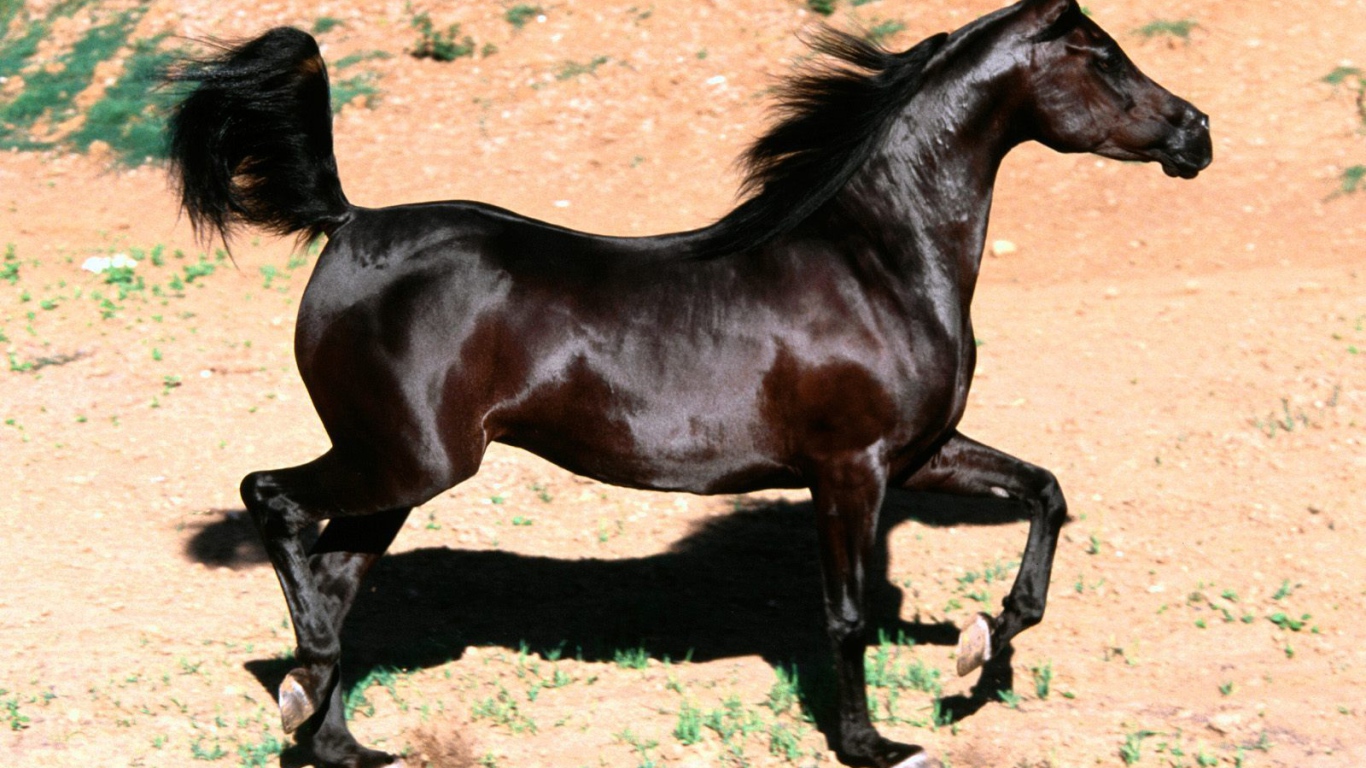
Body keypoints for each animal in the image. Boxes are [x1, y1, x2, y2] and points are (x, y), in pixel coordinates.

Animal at [165, 1, 1209, 765]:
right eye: (1104, 57)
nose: (1195, 133)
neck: (877, 261)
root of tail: (349, 224)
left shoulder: (920, 454)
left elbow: (1044, 493)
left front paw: (981, 649)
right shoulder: (851, 469)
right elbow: (845, 614)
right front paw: (875, 744)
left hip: (399, 474)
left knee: (335, 577)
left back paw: (338, 737)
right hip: (404, 460)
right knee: (273, 502)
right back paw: (307, 689)